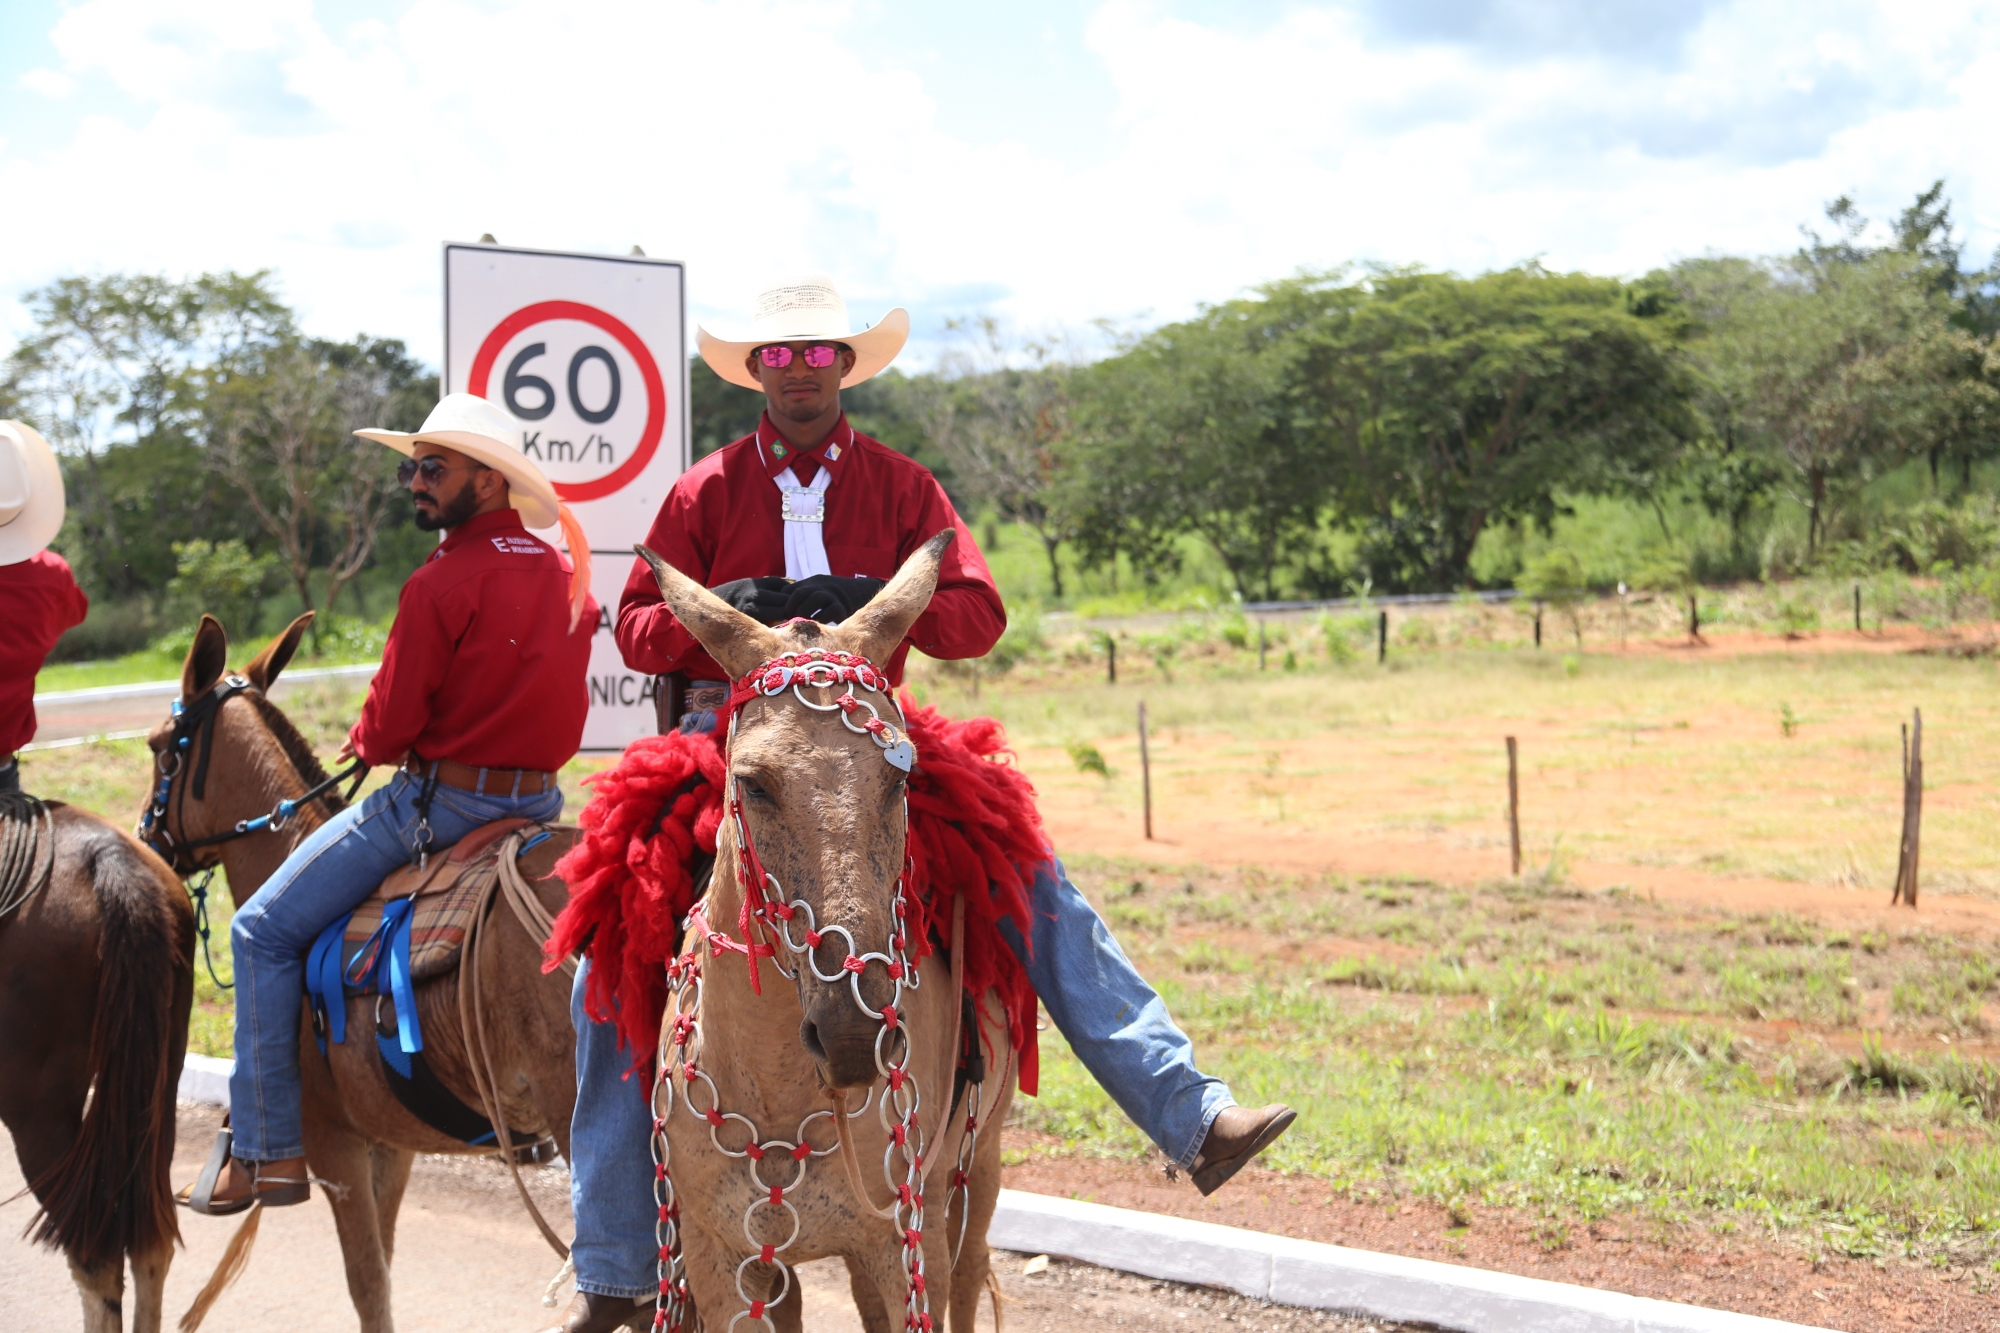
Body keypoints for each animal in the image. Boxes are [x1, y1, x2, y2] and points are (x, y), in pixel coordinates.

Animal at [638, 530, 1012, 1333]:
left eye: (900, 778)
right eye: (752, 782)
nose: (851, 1031)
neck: (780, 1092)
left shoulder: (904, 1243)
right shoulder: (720, 1258)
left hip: (979, 1165)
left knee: (969, 1274)